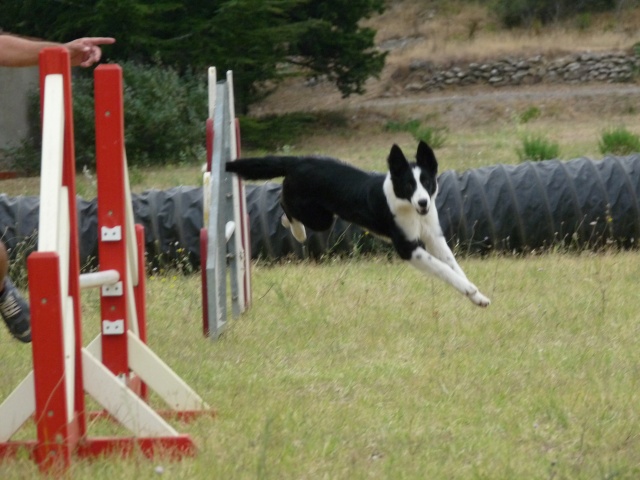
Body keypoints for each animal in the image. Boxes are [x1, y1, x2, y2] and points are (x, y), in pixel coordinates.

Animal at [225, 142, 490, 308]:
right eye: (408, 185)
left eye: (426, 182)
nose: (423, 202)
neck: (408, 207)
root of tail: (299, 161)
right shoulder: (408, 248)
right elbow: (442, 268)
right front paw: (468, 289)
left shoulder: (434, 237)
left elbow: (453, 264)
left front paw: (477, 295)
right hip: (319, 218)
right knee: (284, 204)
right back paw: (298, 233)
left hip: (322, 216)